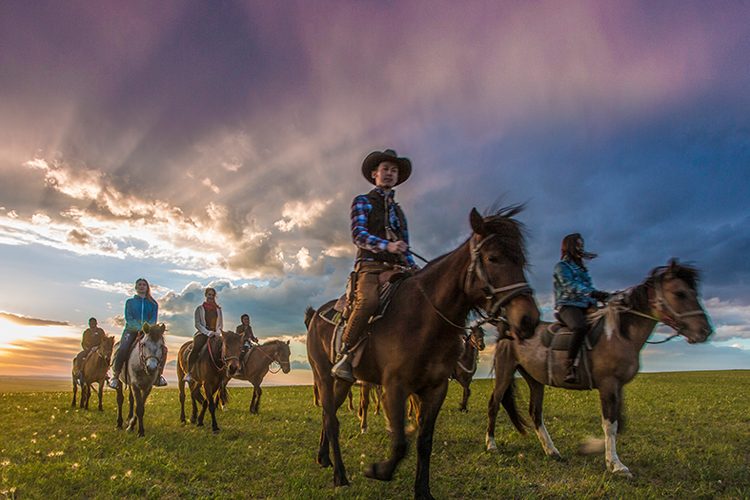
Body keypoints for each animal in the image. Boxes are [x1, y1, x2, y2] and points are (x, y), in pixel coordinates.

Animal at [306, 207, 540, 500]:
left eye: (521, 260)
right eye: (493, 258)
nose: (529, 319)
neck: (424, 317)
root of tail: (316, 315)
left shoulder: (435, 388)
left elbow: (423, 442)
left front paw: (423, 491)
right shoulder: (395, 387)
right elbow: (400, 443)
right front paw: (378, 470)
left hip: (343, 381)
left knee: (329, 415)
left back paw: (323, 458)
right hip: (323, 375)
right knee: (332, 419)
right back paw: (340, 475)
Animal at [488, 260, 716, 478]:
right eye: (680, 293)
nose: (705, 331)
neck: (618, 335)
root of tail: (509, 328)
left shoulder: (618, 386)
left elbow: (619, 423)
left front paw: (590, 447)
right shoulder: (608, 385)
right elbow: (610, 425)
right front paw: (615, 464)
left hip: (535, 379)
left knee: (535, 412)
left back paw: (552, 451)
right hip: (505, 370)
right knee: (494, 404)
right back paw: (491, 444)